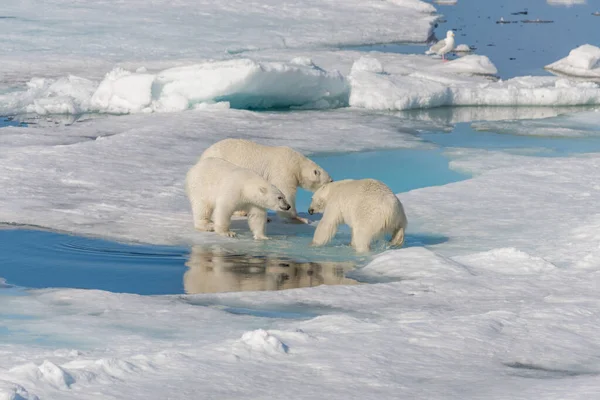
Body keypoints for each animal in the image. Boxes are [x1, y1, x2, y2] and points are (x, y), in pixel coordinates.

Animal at [200, 139, 332, 223]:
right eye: (329, 181)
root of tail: (202, 155)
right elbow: (286, 191)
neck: (297, 163)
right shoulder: (283, 170)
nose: (333, 180)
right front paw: (300, 218)